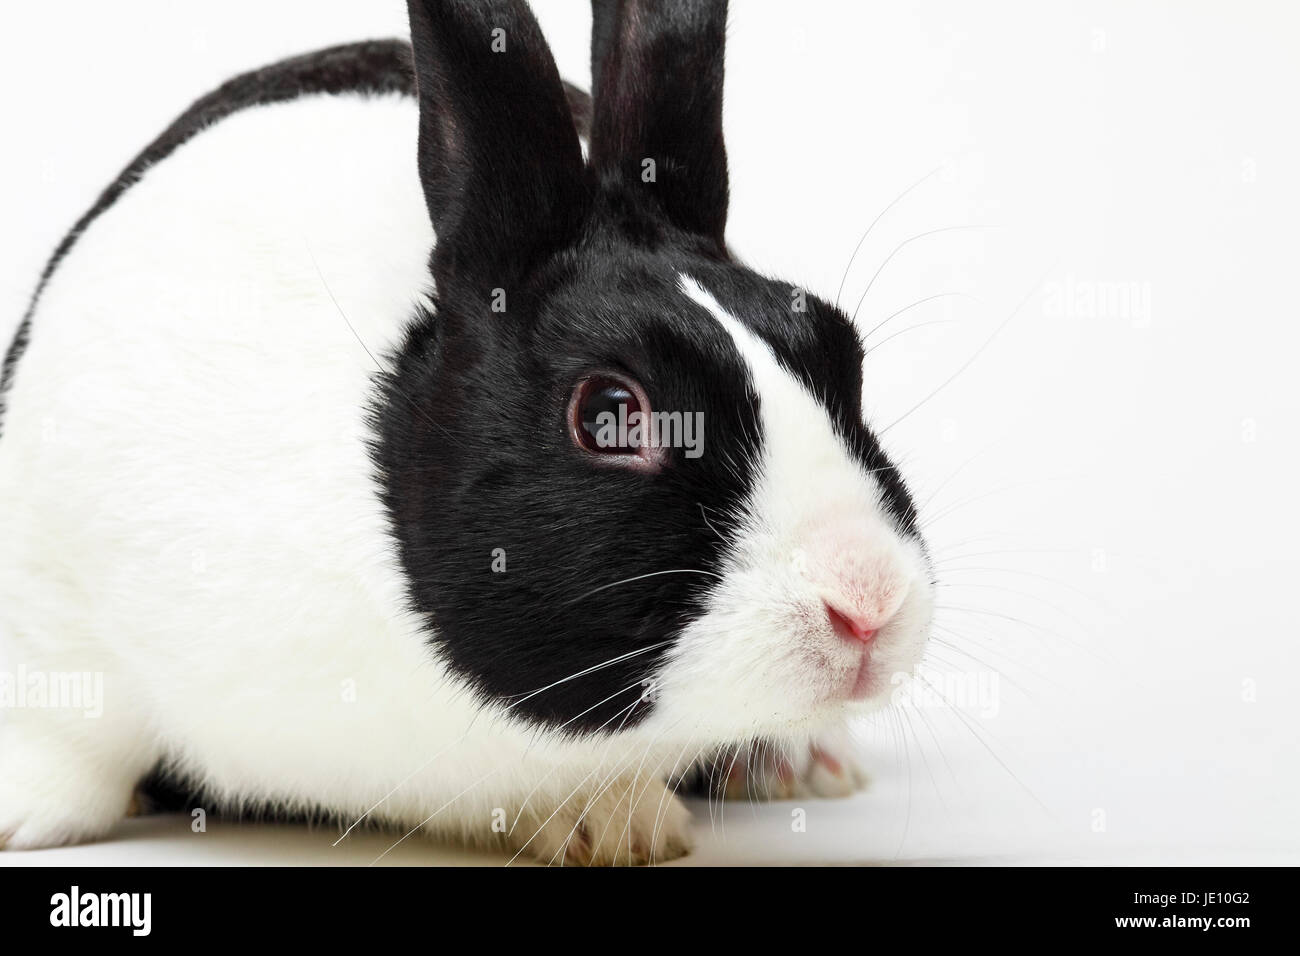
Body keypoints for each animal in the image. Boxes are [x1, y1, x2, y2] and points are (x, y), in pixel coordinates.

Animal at [0, 0, 934, 865]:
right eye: (608, 413)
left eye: (841, 358)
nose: (868, 603)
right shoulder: (50, 579)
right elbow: (67, 726)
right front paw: (22, 815)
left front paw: (617, 822)